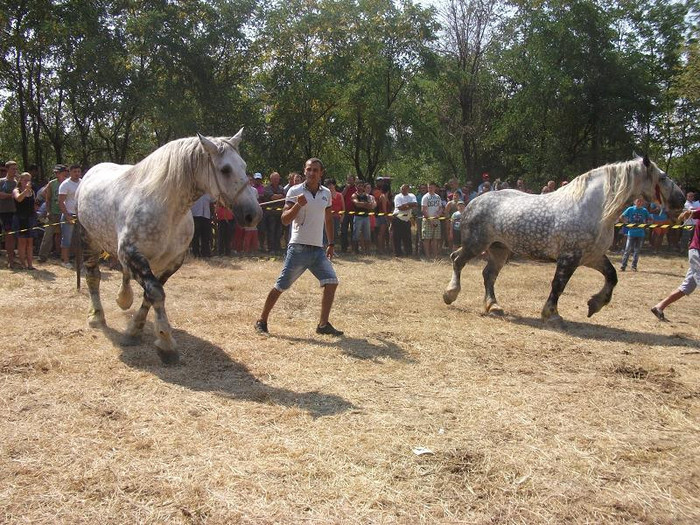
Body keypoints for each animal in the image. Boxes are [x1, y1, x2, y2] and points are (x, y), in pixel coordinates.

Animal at [76, 130, 262, 364]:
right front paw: (166, 343)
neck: (167, 208)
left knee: (125, 275)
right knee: (93, 277)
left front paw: (135, 330)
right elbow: (156, 293)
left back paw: (123, 298)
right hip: (88, 239)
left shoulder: (171, 261)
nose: (253, 215)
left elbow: (151, 294)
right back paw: (96, 316)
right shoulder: (131, 254)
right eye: (225, 169)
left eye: (244, 166)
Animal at [442, 156, 684, 322]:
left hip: (499, 249)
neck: (593, 208)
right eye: (663, 177)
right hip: (476, 244)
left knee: (488, 275)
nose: (680, 199)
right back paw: (450, 294)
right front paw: (551, 313)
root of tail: (474, 202)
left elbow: (612, 276)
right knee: (457, 260)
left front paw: (594, 304)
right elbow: (558, 284)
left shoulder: (592, 257)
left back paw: (493, 306)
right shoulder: (569, 257)